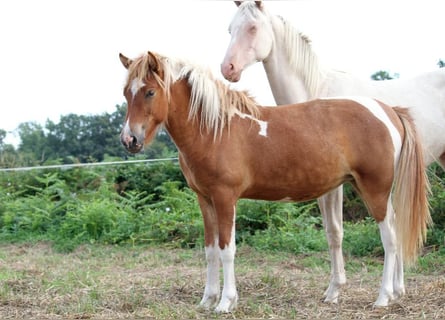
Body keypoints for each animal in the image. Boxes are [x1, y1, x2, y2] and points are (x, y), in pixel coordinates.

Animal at [118, 50, 430, 312]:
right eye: (125, 93)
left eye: (149, 91)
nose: (129, 140)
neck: (216, 128)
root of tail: (389, 111)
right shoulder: (204, 199)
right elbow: (210, 251)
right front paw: (207, 300)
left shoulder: (225, 198)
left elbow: (227, 249)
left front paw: (226, 302)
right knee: (396, 229)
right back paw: (392, 292)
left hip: (375, 189)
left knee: (389, 238)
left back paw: (383, 297)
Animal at [220, 0, 442, 308]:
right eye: (230, 29)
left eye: (253, 27)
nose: (227, 68)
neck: (316, 90)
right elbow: (332, 233)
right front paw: (339, 290)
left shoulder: (334, 186)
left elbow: (336, 231)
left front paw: (336, 289)